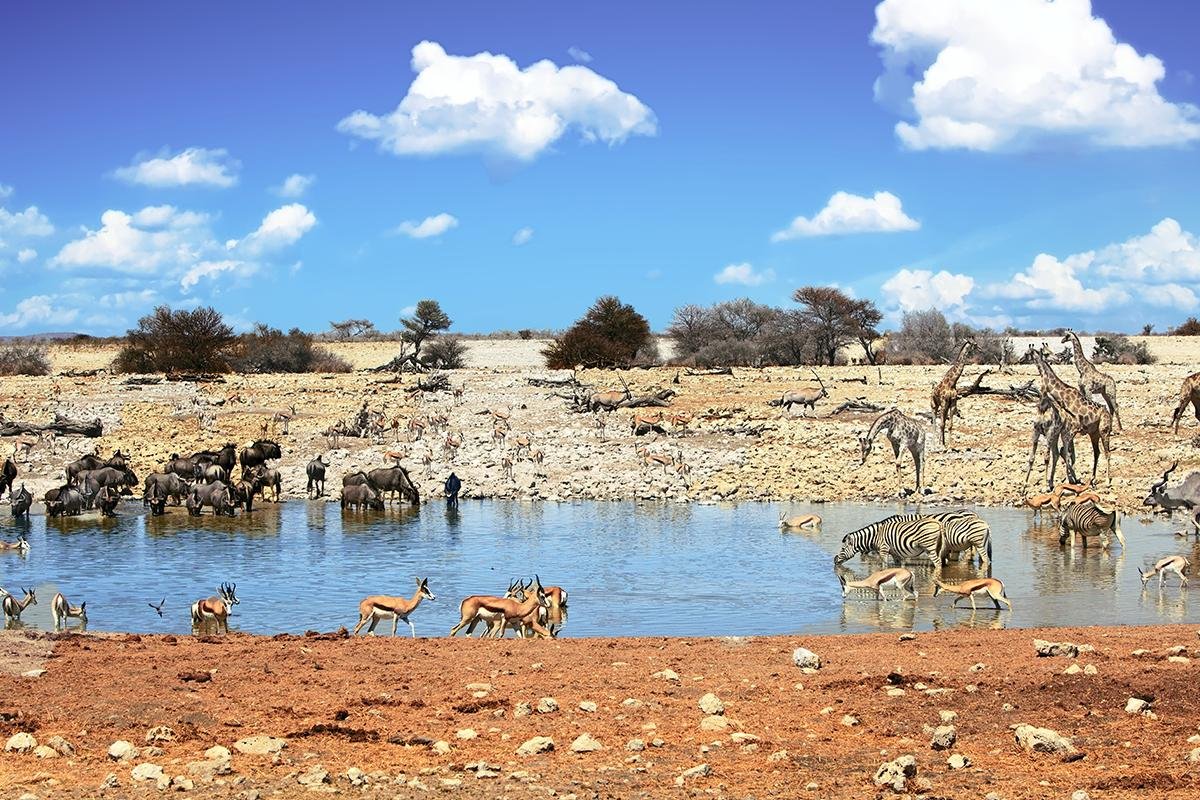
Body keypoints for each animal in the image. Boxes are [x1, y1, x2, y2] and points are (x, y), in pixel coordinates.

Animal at [1027, 345, 1108, 489]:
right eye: (1046, 352)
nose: (1058, 359)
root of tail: (1107, 411)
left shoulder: (1069, 431)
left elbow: (1065, 454)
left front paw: (1070, 480)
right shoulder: (1061, 431)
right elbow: (1065, 454)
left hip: (1103, 431)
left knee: (1106, 452)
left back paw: (1106, 480)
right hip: (1093, 434)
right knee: (1096, 452)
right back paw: (1091, 479)